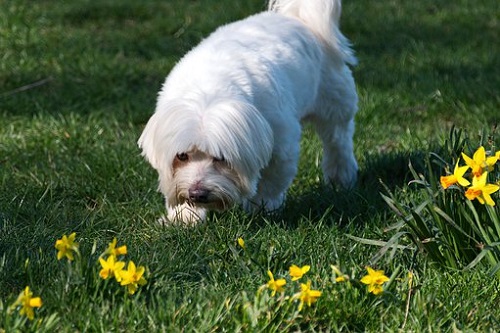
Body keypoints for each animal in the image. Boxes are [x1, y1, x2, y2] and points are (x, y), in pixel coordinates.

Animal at [139, 0, 358, 224]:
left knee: (338, 142)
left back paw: (341, 179)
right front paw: (184, 217)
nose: (197, 193)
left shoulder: (281, 144)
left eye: (221, 158)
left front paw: (262, 209)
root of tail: (298, 18)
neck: (208, 91)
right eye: (181, 156)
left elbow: (271, 182)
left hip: (334, 103)